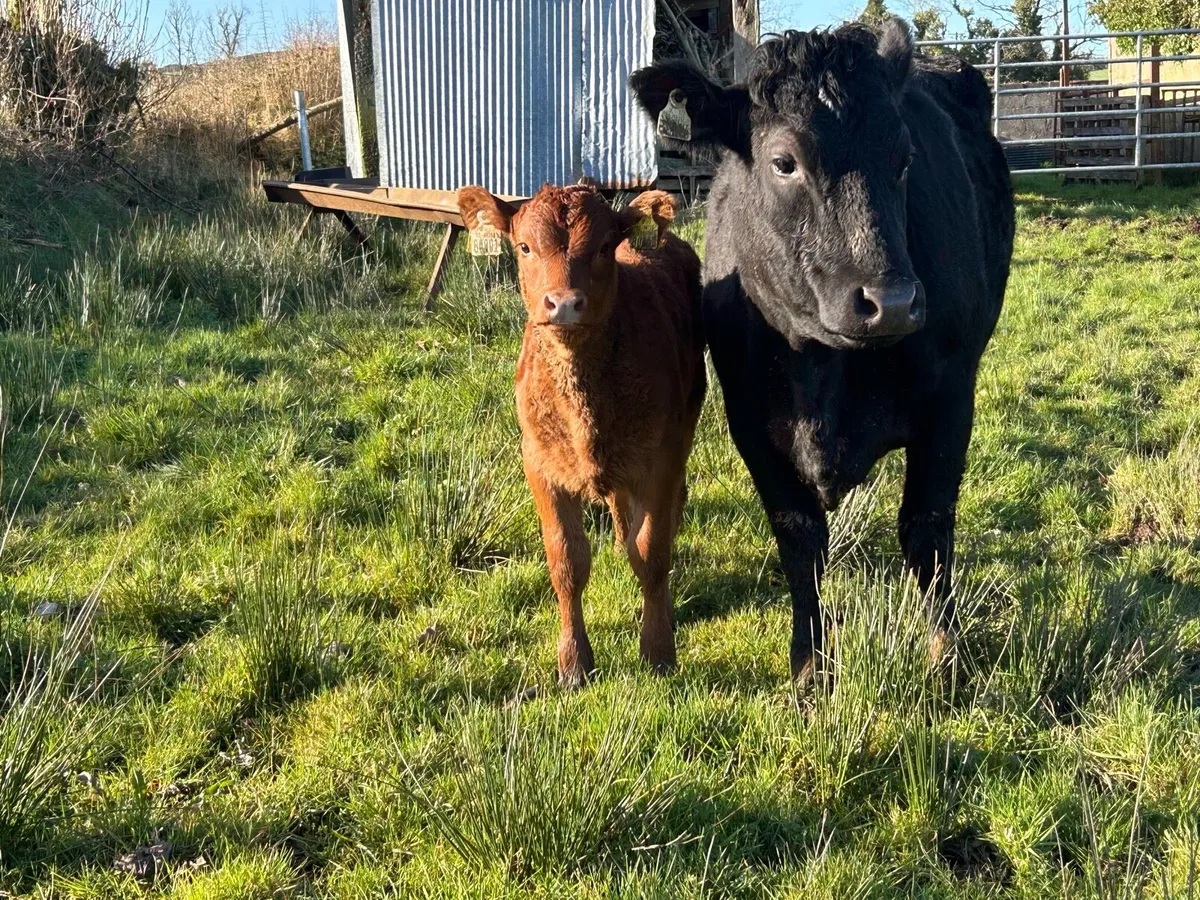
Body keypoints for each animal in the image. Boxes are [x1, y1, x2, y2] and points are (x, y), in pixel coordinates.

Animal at [456, 184, 706, 688]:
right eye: (524, 247)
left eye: (604, 248)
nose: (564, 303)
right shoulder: (539, 462)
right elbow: (567, 561)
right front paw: (573, 663)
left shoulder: (661, 460)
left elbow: (652, 553)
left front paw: (657, 650)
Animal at [630, 19, 1015, 683]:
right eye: (784, 162)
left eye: (905, 158)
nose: (892, 302)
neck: (824, 371)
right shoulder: (751, 421)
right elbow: (800, 539)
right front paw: (810, 666)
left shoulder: (950, 399)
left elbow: (927, 527)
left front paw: (945, 655)